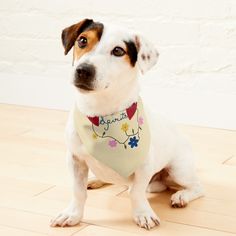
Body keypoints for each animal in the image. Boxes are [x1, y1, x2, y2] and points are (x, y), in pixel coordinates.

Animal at [50, 18, 204, 230]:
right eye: (82, 40)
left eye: (118, 51)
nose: (83, 70)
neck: (101, 114)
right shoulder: (75, 159)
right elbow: (78, 191)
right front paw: (72, 214)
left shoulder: (144, 167)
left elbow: (136, 192)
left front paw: (143, 214)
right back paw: (96, 180)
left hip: (179, 170)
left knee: (196, 187)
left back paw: (181, 196)